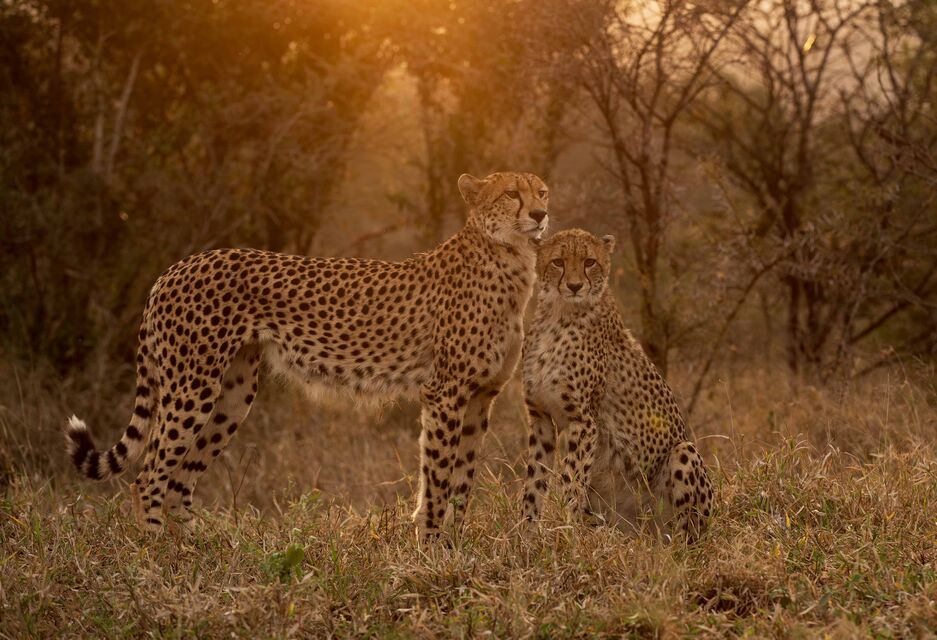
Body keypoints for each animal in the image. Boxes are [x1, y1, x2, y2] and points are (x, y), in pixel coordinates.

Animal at [65, 171, 550, 541]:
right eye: (511, 193)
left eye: (542, 191)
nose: (541, 215)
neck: (510, 258)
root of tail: (174, 268)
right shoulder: (445, 394)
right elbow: (437, 478)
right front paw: (430, 549)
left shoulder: (481, 396)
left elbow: (463, 479)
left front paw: (456, 547)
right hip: (192, 388)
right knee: (148, 478)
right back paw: (156, 554)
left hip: (232, 396)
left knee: (180, 478)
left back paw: (199, 551)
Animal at [521, 228, 713, 543]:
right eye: (558, 262)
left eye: (589, 262)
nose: (575, 286)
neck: (559, 314)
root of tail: (648, 532)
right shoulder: (541, 418)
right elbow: (534, 482)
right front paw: (524, 535)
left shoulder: (583, 422)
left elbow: (571, 481)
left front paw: (567, 534)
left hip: (683, 451)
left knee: (688, 534)